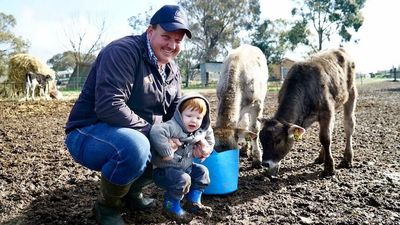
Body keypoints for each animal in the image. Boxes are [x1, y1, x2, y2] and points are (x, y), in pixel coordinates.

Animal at [258, 48, 358, 178]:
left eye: (278, 140)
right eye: (261, 139)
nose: (265, 163)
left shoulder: (326, 112)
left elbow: (325, 138)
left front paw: (329, 168)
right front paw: (273, 169)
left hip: (351, 92)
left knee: (348, 126)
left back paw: (347, 159)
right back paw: (321, 157)